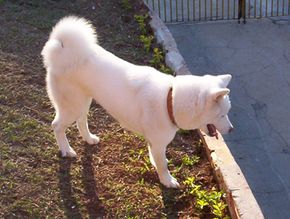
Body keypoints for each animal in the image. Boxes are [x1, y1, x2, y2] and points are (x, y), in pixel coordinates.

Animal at [41, 16, 233, 188]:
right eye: (222, 114)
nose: (231, 129)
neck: (170, 100)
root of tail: (62, 51)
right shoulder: (158, 142)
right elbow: (163, 165)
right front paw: (167, 181)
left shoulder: (154, 143)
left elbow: (157, 159)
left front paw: (157, 167)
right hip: (72, 106)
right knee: (57, 126)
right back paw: (66, 150)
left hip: (83, 101)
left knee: (81, 121)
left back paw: (89, 138)